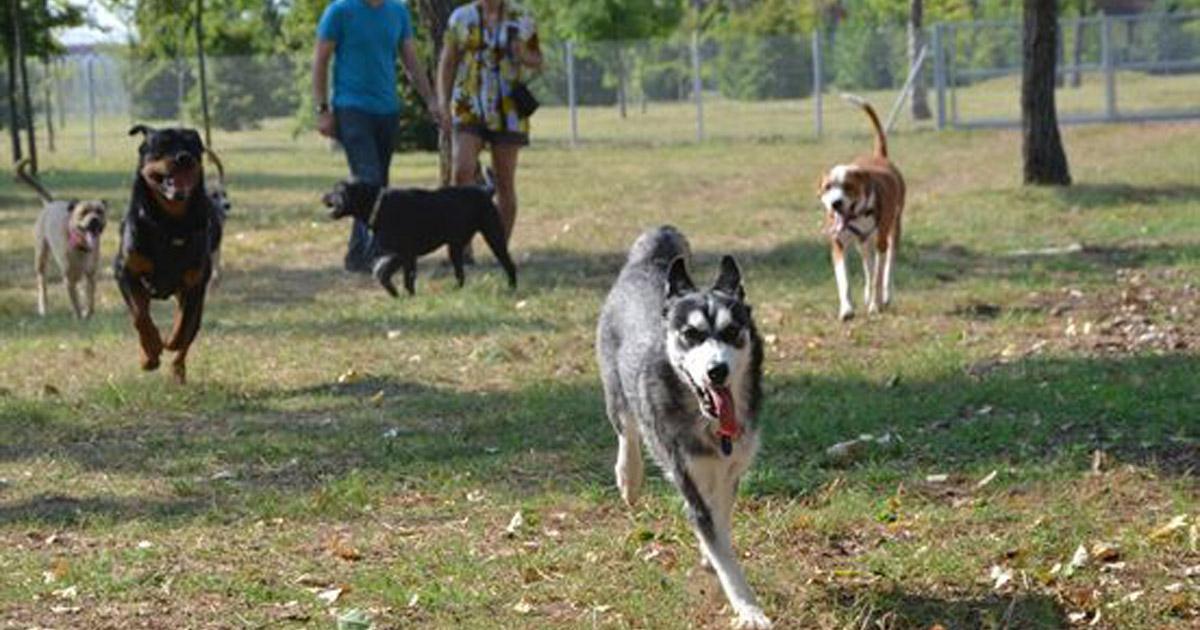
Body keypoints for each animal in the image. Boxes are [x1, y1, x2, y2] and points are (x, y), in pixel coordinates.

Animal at [597, 224, 772, 624]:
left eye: (732, 331)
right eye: (691, 335)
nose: (716, 370)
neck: (709, 425)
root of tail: (645, 264)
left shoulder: (729, 471)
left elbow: (720, 520)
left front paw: (711, 555)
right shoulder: (687, 474)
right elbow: (722, 551)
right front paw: (749, 609)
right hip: (616, 390)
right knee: (627, 431)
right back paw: (629, 477)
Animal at [816, 96, 907, 321]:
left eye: (848, 186)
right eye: (827, 187)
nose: (836, 203)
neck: (858, 214)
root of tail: (879, 156)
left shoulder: (881, 240)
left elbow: (878, 276)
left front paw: (875, 305)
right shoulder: (839, 243)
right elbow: (844, 280)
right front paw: (847, 309)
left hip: (893, 230)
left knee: (887, 266)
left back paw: (885, 296)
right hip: (863, 243)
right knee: (868, 265)